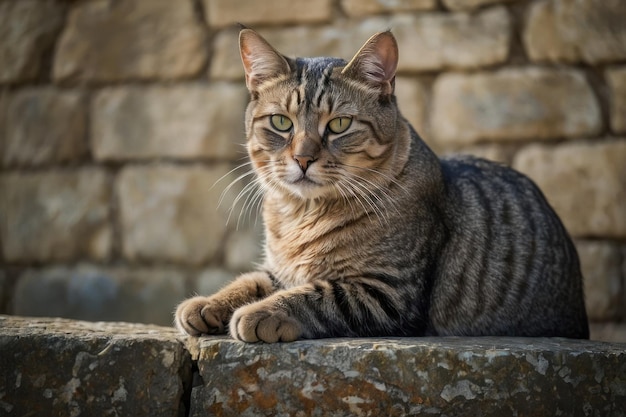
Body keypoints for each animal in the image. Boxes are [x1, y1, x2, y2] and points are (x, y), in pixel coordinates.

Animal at [173, 28, 588, 342]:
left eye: (339, 125)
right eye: (281, 122)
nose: (303, 158)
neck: (301, 216)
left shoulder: (387, 293)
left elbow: (314, 296)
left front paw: (260, 313)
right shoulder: (280, 270)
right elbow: (251, 279)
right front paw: (207, 303)